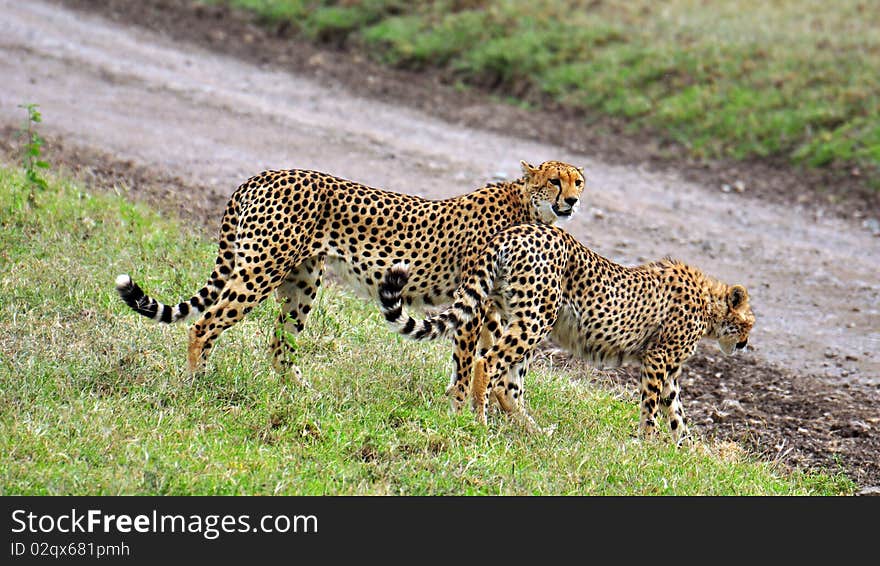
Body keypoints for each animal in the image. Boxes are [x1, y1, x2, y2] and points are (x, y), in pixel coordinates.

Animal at [115, 159, 584, 386]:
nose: (573, 201)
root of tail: (264, 174)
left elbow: (497, 365)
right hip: (261, 270)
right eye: (554, 181)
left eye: (577, 181)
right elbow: (468, 362)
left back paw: (299, 394)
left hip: (303, 281)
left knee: (280, 342)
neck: (528, 208)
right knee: (204, 325)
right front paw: (461, 412)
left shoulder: (494, 311)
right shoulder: (475, 304)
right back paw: (196, 382)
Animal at [378, 222, 756, 444]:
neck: (709, 304)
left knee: (502, 379)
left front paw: (687, 451)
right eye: (749, 324)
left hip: (512, 312)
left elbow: (676, 411)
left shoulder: (670, 368)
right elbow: (652, 406)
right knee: (487, 363)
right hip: (536, 317)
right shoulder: (658, 358)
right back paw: (480, 422)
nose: (745, 344)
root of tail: (516, 231)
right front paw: (648, 444)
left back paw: (532, 430)